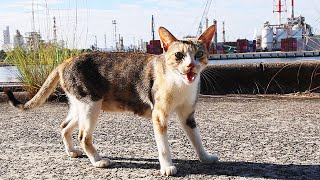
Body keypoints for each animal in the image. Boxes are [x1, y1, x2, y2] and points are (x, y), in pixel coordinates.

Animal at [5, 25, 218, 176]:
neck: (180, 84)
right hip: (91, 104)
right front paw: (167, 167)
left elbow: (196, 138)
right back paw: (98, 161)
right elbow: (163, 146)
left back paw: (71, 151)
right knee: (83, 136)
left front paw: (205, 158)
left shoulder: (187, 115)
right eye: (179, 55)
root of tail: (64, 61)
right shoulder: (159, 116)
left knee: (64, 126)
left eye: (199, 54)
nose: (190, 65)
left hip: (80, 104)